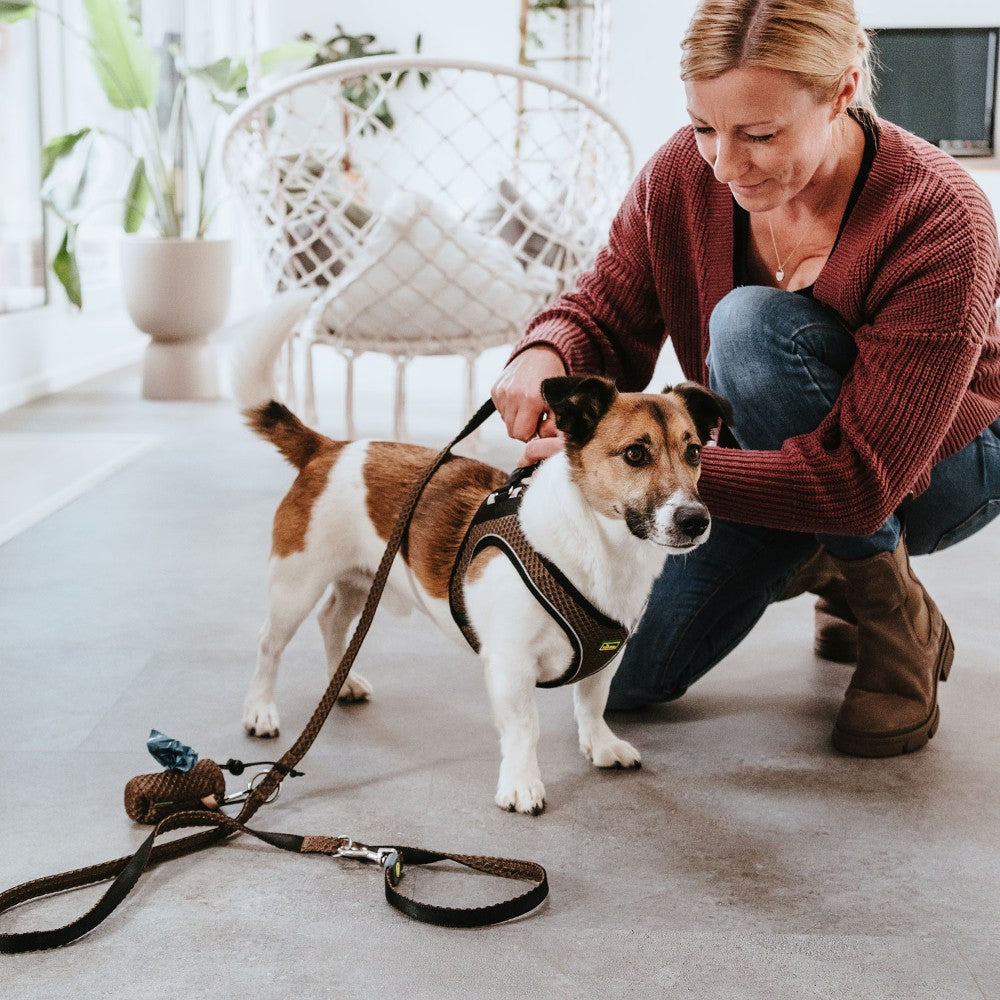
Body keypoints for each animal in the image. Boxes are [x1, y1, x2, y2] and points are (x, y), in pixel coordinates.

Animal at [237, 302, 732, 812]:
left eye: (695, 453)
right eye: (635, 454)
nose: (696, 520)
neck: (600, 546)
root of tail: (329, 449)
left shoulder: (606, 660)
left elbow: (591, 704)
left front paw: (600, 744)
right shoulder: (511, 663)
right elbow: (525, 728)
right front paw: (521, 783)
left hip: (361, 579)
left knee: (333, 621)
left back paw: (344, 681)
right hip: (296, 583)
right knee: (270, 643)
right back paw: (260, 709)